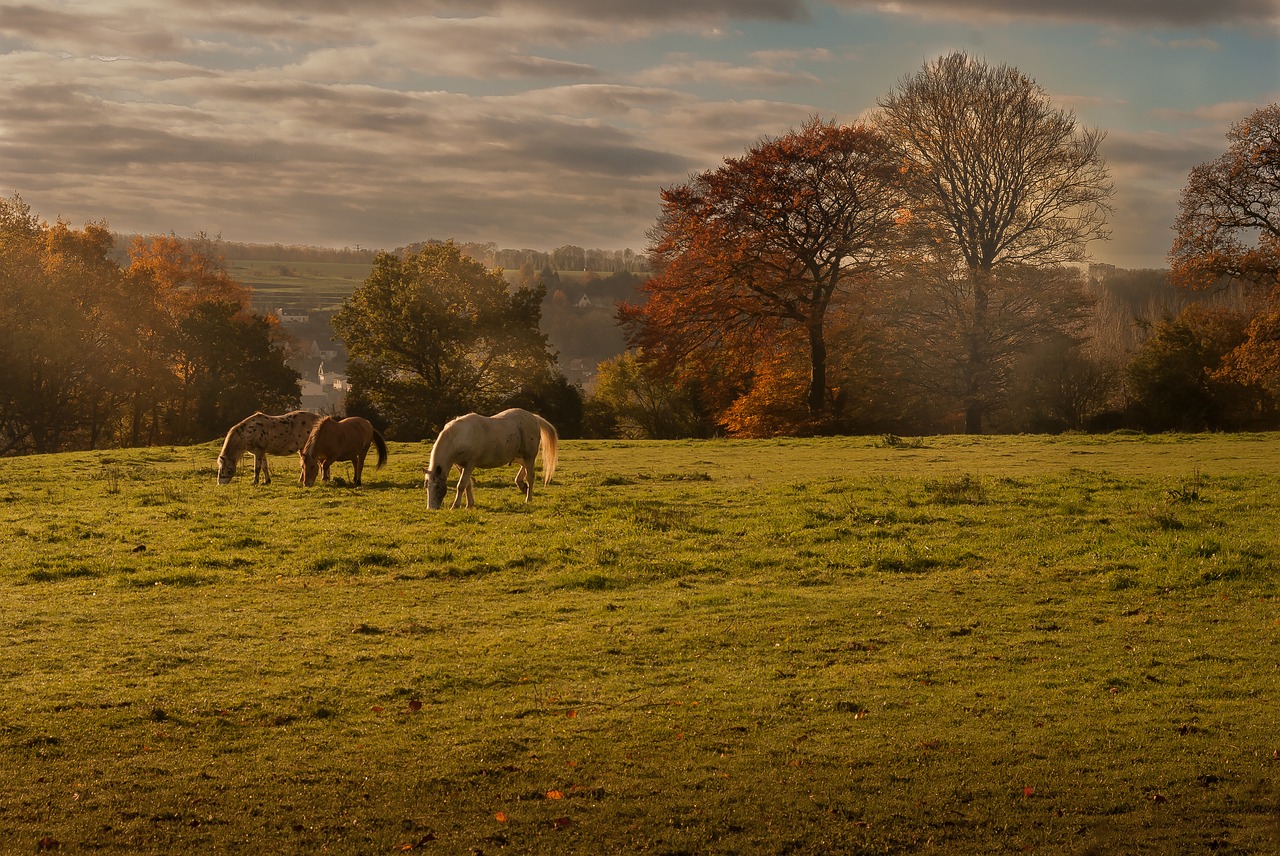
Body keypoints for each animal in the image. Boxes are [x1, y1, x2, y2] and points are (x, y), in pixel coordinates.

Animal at [422, 406, 558, 506]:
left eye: (438, 487)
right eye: (426, 486)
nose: (431, 508)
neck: (458, 437)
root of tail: (533, 417)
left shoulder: (469, 465)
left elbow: (461, 485)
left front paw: (455, 505)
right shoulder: (460, 466)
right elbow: (467, 485)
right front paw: (469, 504)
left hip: (529, 456)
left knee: (531, 476)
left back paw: (528, 498)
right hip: (520, 456)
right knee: (523, 469)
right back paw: (523, 486)